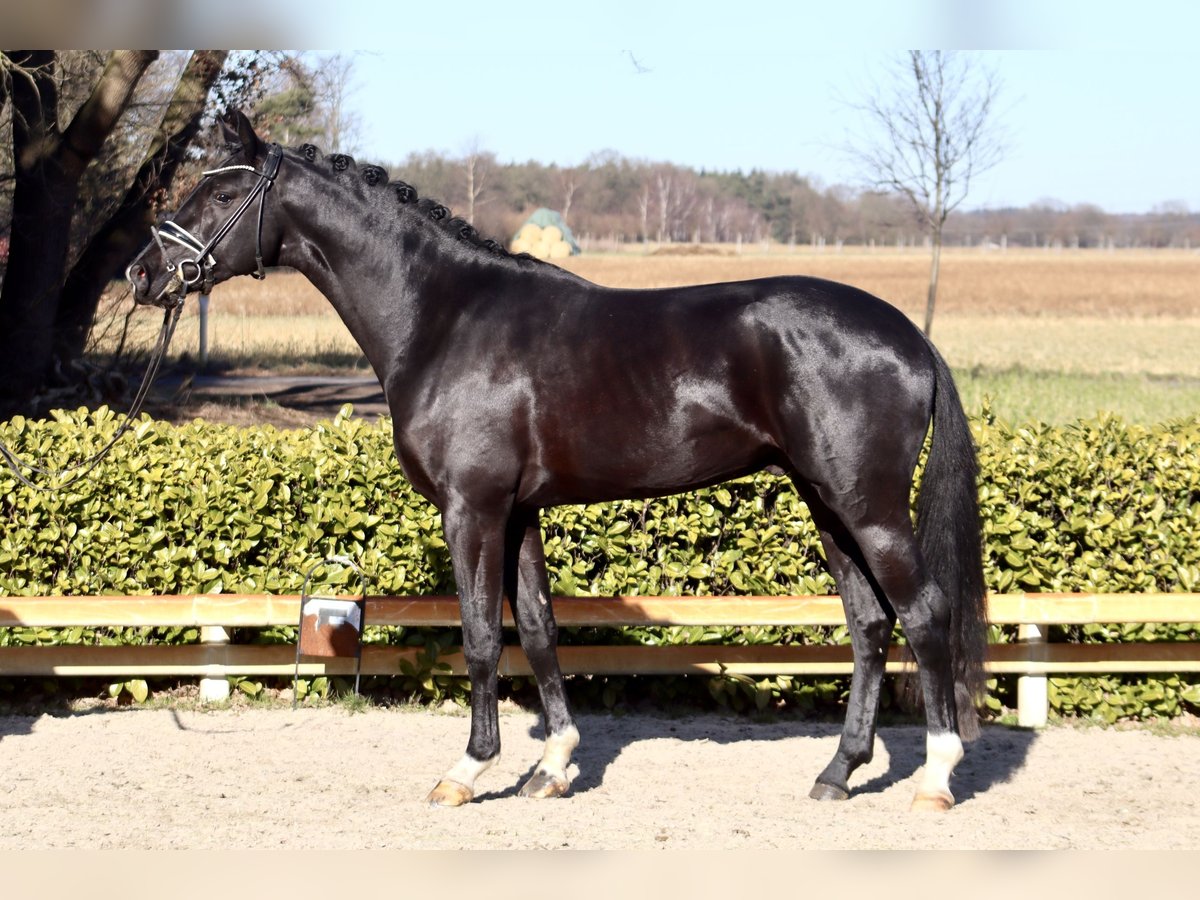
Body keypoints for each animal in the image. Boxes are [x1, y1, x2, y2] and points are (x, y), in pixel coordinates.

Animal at [129, 109, 984, 816]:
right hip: (826, 501)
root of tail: (909, 335)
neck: (446, 317)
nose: (142, 274)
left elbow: (481, 636)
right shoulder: (519, 511)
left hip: (867, 505)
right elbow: (538, 629)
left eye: (221, 190)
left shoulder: (471, 508)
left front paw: (467, 771)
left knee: (923, 614)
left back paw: (937, 777)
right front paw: (554, 767)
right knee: (870, 623)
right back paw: (838, 773)